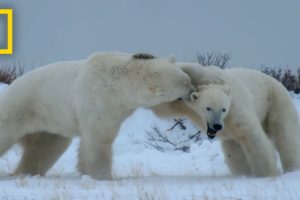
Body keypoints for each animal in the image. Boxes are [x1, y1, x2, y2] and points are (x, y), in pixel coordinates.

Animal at [0, 52, 199, 180]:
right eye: (185, 82)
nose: (194, 91)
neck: (121, 82)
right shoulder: (100, 100)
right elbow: (99, 138)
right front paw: (102, 176)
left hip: (51, 121)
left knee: (46, 147)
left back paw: (26, 172)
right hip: (21, 107)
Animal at [154, 65, 300, 177]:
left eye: (223, 109)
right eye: (208, 108)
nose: (217, 125)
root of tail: (279, 83)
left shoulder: (235, 108)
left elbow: (253, 137)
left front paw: (266, 173)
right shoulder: (186, 104)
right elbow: (164, 105)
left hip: (276, 103)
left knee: (285, 137)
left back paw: (291, 169)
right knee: (233, 149)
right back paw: (242, 173)